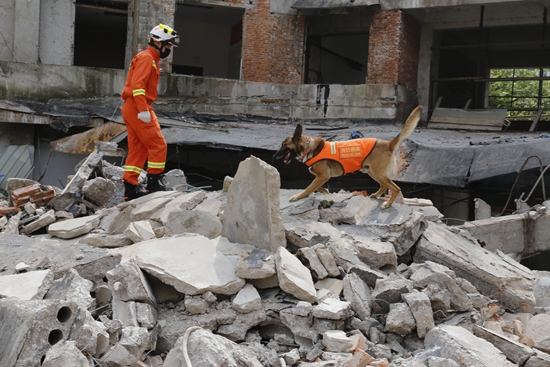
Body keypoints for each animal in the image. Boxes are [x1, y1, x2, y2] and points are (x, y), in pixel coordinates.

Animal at [274, 106, 424, 210]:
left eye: (283, 145)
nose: (274, 156)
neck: (309, 147)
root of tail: (389, 144)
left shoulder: (323, 176)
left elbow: (308, 188)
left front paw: (298, 196)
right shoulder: (322, 177)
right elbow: (314, 186)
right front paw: (324, 191)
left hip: (378, 173)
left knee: (395, 188)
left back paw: (387, 204)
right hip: (372, 172)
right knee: (384, 186)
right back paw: (376, 195)